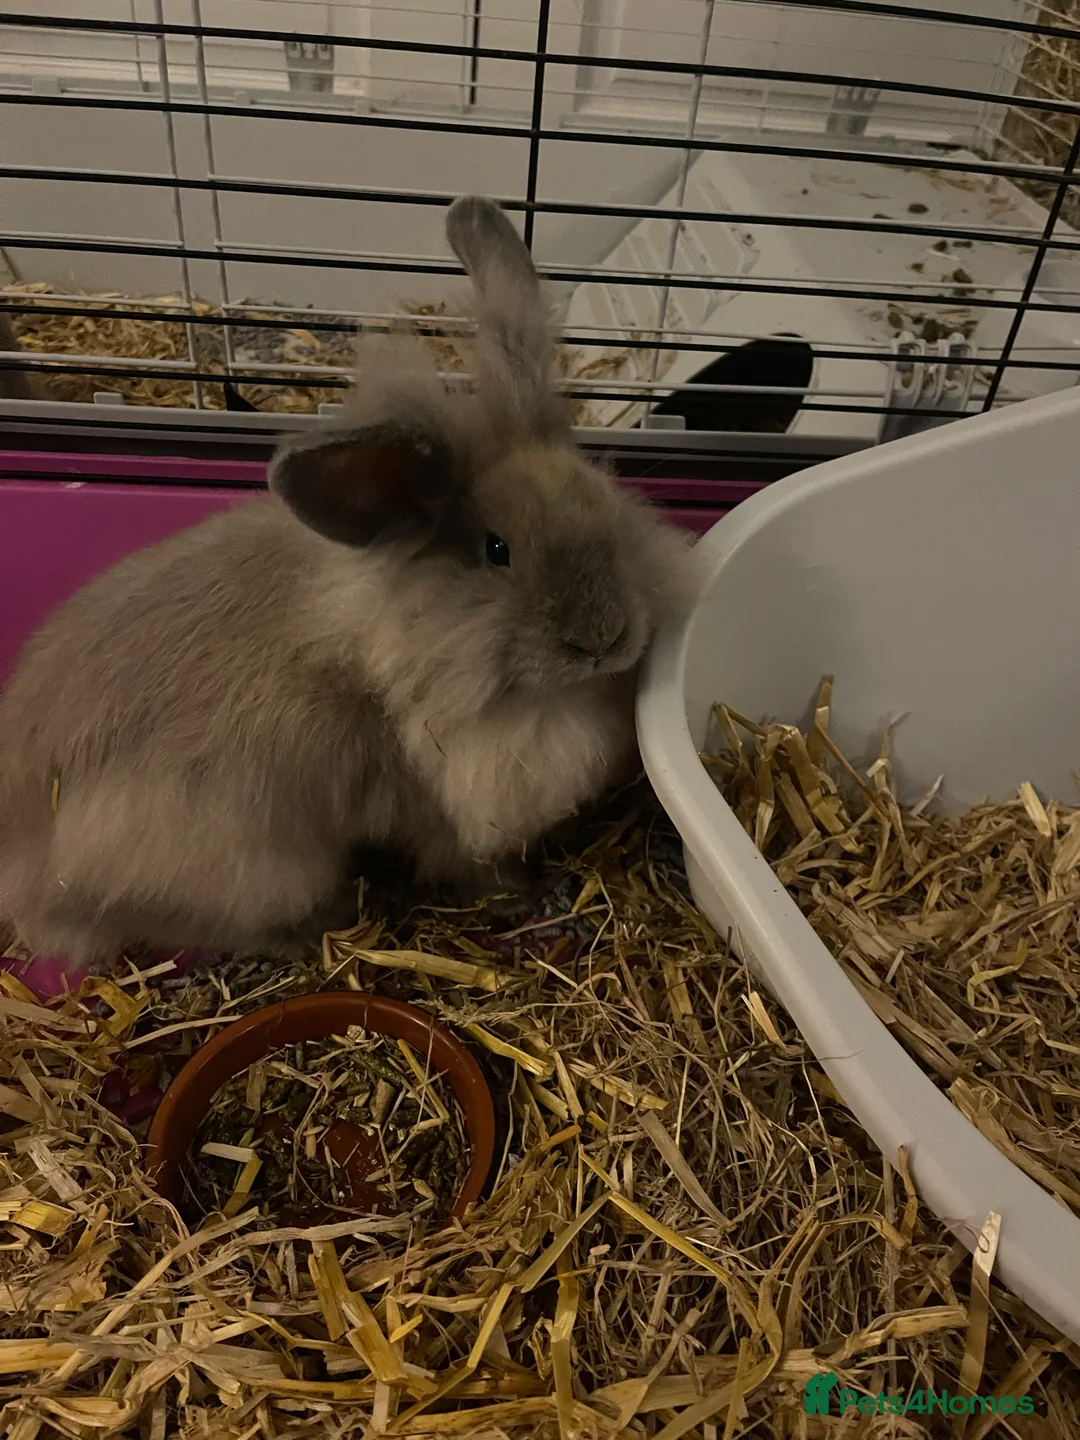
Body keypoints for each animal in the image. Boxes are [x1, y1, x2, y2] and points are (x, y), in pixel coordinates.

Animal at [0, 196, 697, 971]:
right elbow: (474, 866)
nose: (606, 639)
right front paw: (522, 896)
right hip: (261, 869)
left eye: (604, 505)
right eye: (497, 550)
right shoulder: (442, 816)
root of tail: (21, 871)